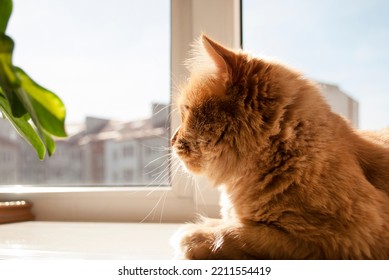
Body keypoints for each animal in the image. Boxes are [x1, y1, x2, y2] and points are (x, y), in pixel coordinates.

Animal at [171, 35, 388, 260]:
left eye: (186, 112)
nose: (171, 140)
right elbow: (230, 223)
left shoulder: (341, 241)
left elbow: (243, 234)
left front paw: (196, 235)